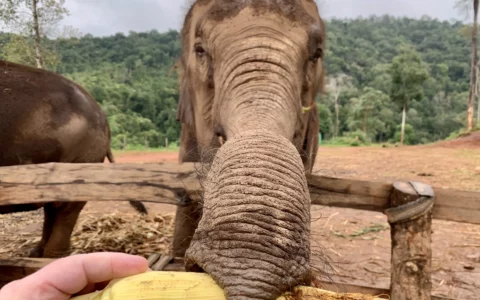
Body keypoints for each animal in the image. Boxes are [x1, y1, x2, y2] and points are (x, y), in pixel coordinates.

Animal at [0, 59, 147, 258]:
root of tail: (102, 116)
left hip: (83, 154)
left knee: (66, 207)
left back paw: (49, 258)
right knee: (53, 207)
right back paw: (35, 254)